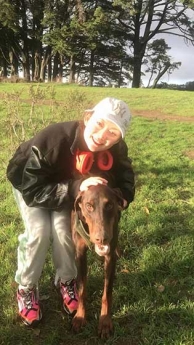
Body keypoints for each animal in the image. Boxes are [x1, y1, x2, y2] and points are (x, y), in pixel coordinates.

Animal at [70, 184, 123, 338]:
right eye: (89, 206)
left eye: (109, 205)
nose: (102, 238)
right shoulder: (80, 255)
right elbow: (81, 289)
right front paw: (80, 317)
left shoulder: (109, 258)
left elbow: (107, 293)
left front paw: (105, 321)